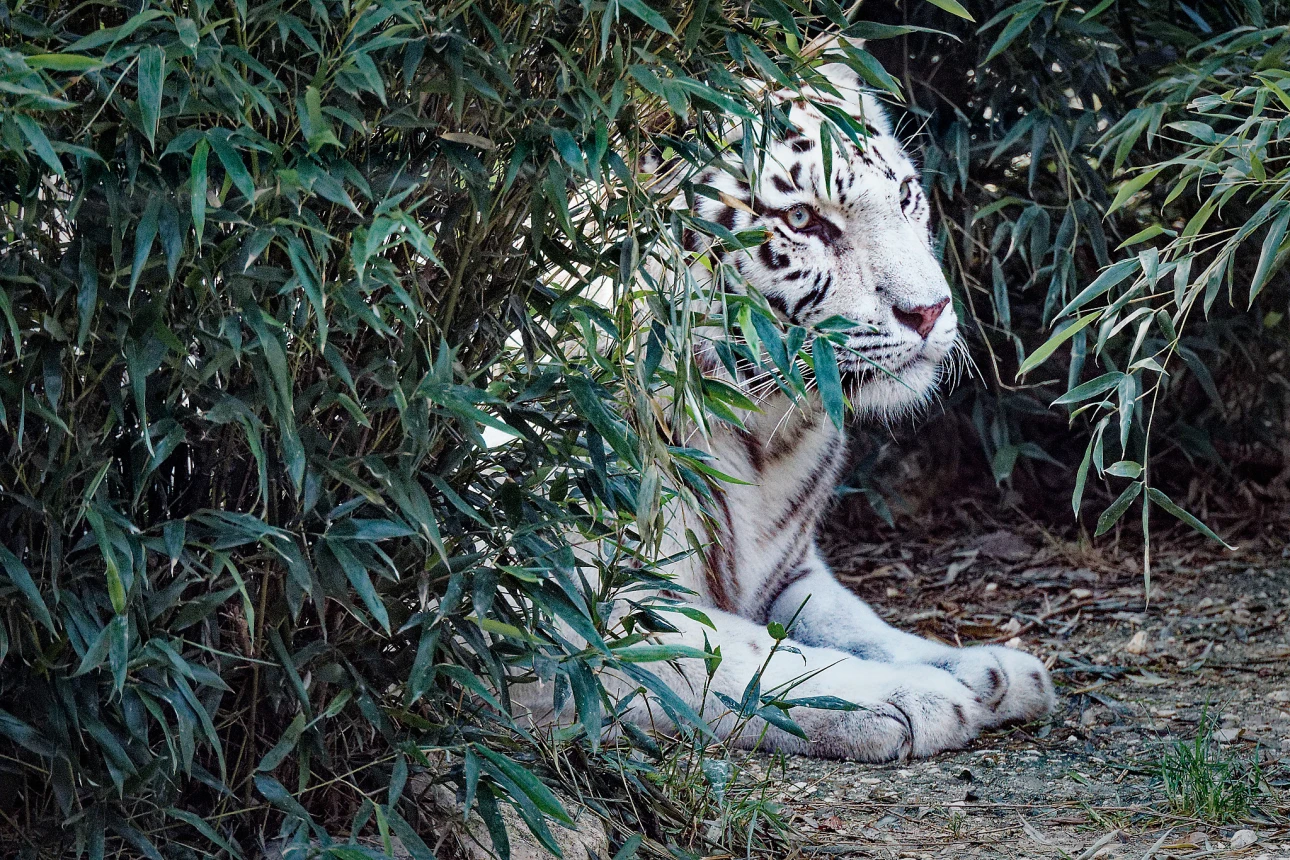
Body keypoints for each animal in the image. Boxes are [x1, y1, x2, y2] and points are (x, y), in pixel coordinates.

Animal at [527, 60, 1056, 762]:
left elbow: (856, 622)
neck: (759, 433)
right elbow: (737, 651)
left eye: (906, 197)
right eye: (803, 219)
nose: (931, 310)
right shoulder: (561, 606)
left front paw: (986, 668)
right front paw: (914, 697)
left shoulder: (793, 571)